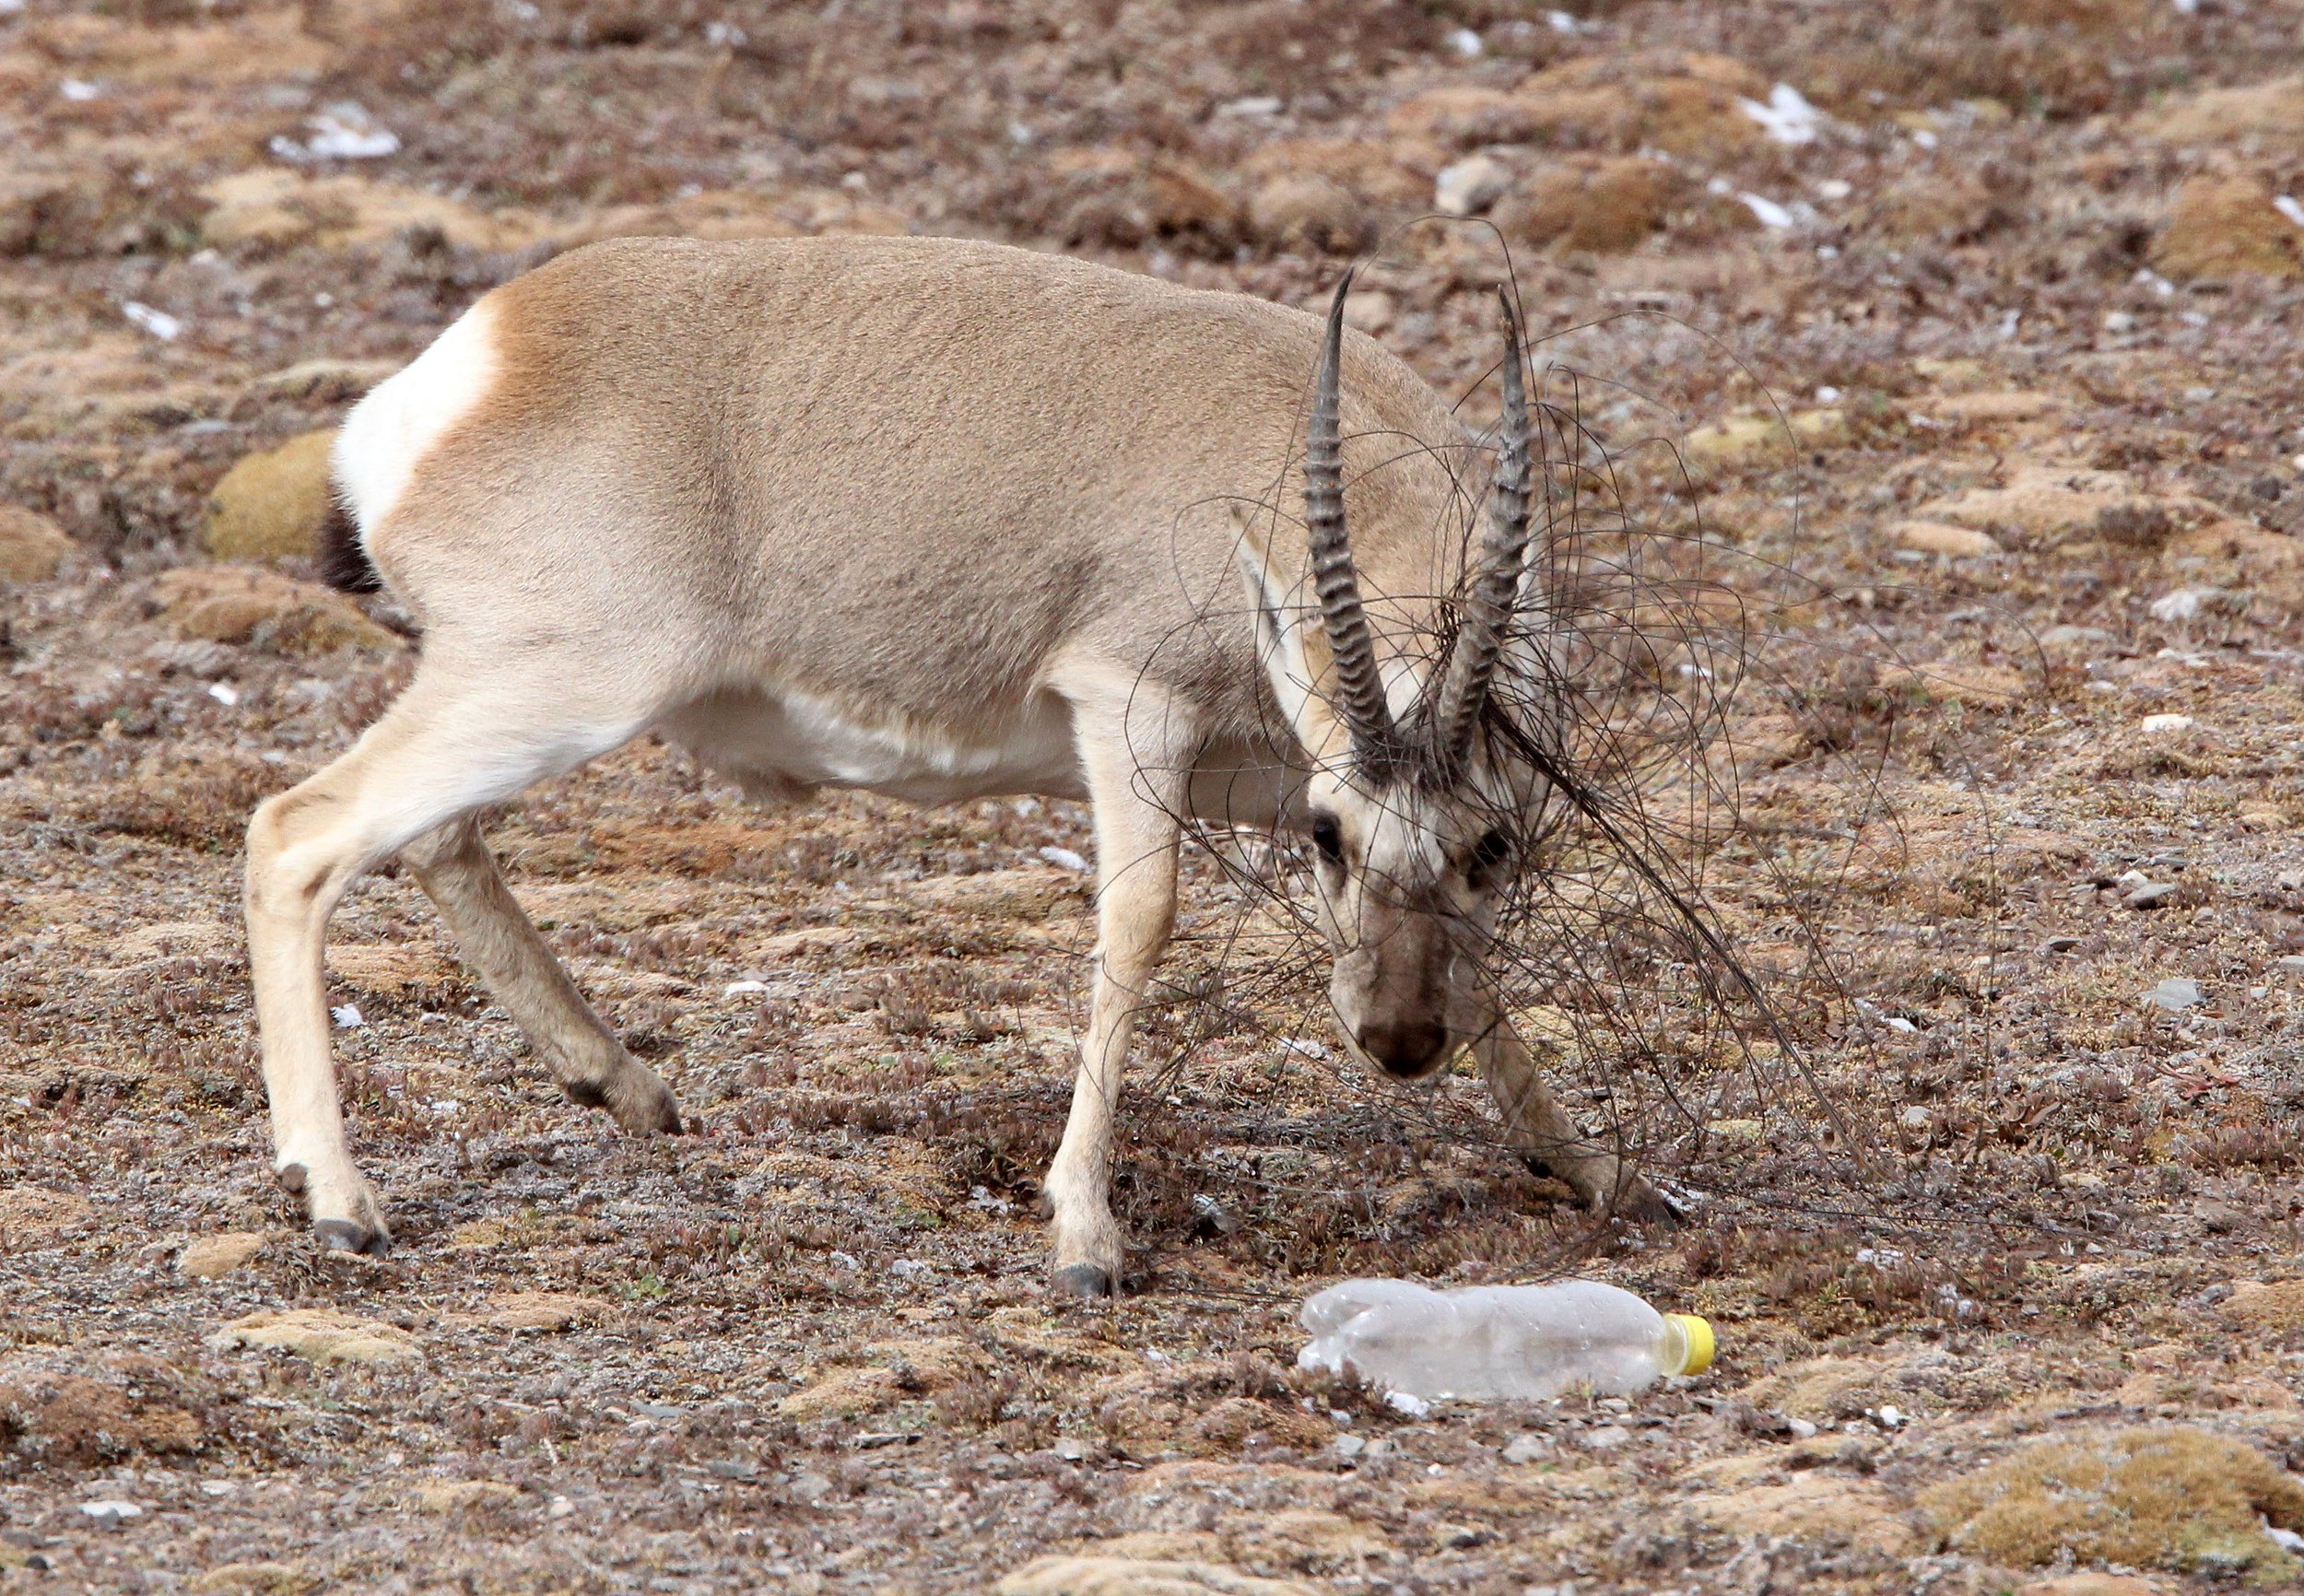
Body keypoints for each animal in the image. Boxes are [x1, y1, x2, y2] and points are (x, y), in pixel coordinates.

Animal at [244, 235, 1674, 1295]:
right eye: (1330, 834)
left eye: (1492, 842)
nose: (1395, 1043)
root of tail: (473, 367)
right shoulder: (1132, 707)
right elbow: (1139, 925)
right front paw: (1085, 1236)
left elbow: (1484, 972)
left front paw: (1597, 1169)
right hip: (564, 691)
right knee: (298, 831)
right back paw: (342, 1202)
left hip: (518, 701)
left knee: (430, 836)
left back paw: (625, 1086)